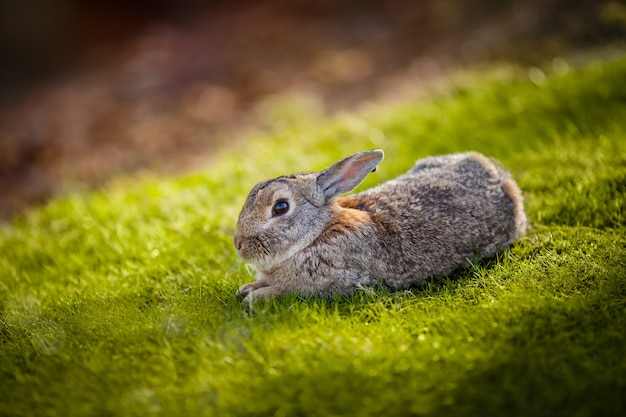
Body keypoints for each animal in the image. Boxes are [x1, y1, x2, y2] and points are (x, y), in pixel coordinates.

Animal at [234, 150, 528, 302]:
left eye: (280, 207)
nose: (238, 244)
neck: (317, 234)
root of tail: (500, 178)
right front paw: (247, 288)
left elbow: (285, 291)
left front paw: (255, 297)